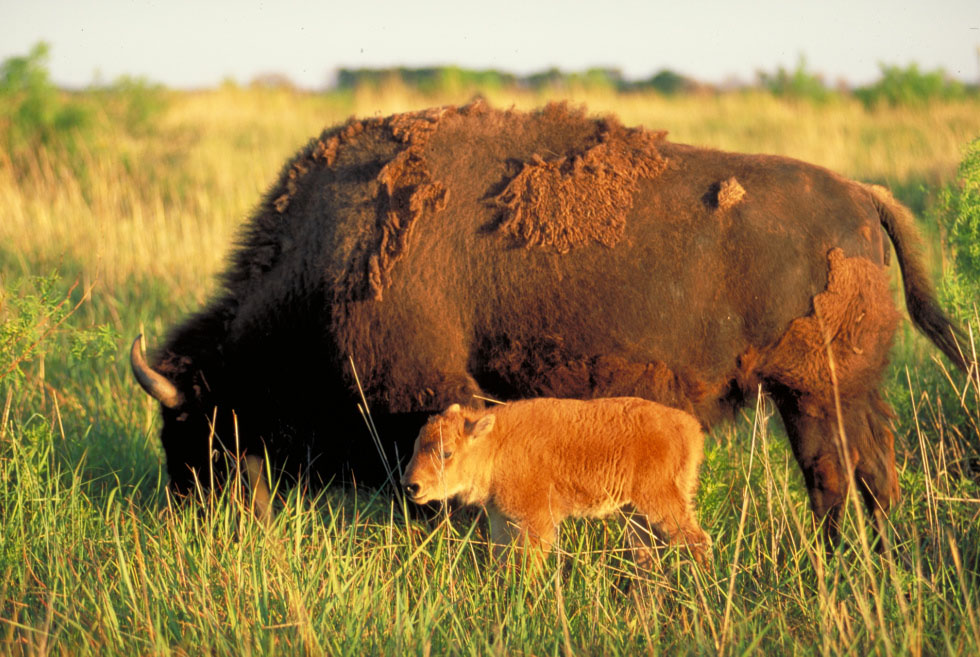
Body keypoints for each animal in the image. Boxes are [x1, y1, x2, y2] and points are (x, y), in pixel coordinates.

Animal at [130, 100, 964, 536]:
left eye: (195, 427)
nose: (189, 514)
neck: (325, 257)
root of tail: (864, 198)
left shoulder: (422, 400)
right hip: (836, 395)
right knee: (869, 468)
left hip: (815, 394)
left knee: (835, 473)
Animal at [400, 398, 712, 568]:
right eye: (416, 445)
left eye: (446, 452)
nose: (411, 486)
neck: (496, 445)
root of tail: (690, 428)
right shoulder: (502, 519)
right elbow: (502, 559)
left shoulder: (538, 523)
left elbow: (529, 564)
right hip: (634, 515)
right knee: (646, 558)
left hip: (661, 503)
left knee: (697, 540)